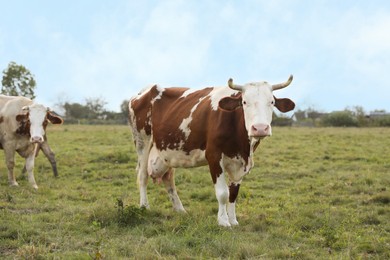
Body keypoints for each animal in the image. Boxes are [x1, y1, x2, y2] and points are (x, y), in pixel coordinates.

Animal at [129, 74, 294, 225]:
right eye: (244, 102)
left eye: (271, 102)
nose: (260, 128)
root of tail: (143, 91)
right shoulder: (214, 156)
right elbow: (223, 193)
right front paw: (223, 221)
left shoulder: (241, 163)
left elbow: (233, 194)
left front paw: (233, 220)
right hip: (142, 142)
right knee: (142, 175)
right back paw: (144, 206)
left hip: (166, 151)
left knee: (168, 178)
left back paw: (180, 210)